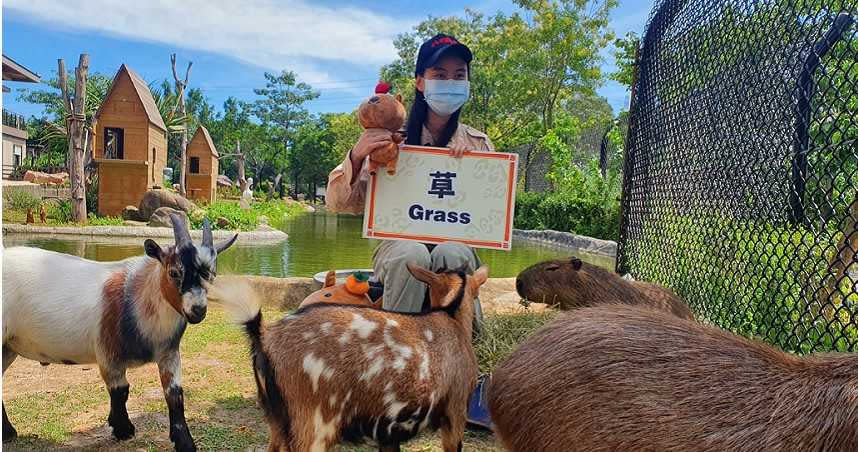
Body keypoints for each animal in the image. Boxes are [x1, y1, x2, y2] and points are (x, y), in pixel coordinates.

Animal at [1, 216, 236, 452]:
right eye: (174, 272)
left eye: (212, 275)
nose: (198, 310)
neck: (135, 295)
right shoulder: (108, 353)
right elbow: (120, 390)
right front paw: (123, 430)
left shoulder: (169, 352)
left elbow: (174, 394)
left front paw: (184, 442)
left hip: (9, 347)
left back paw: (8, 433)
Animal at [209, 262, 488, 452]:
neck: (452, 317)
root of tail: (264, 335)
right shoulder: (456, 411)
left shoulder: (389, 432)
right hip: (314, 423)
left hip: (276, 421)